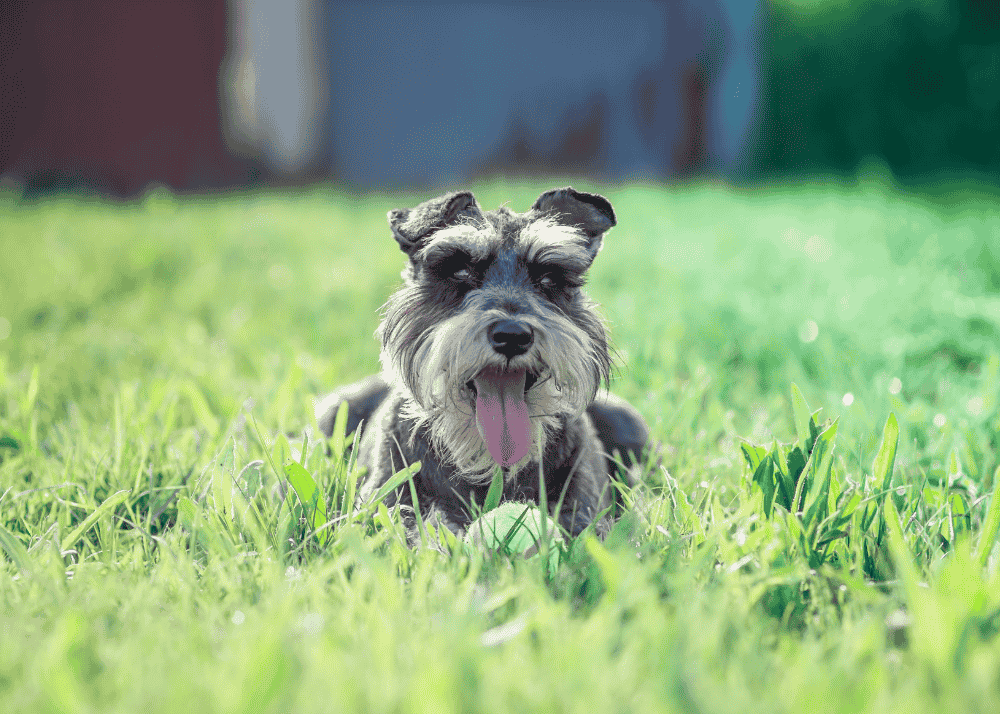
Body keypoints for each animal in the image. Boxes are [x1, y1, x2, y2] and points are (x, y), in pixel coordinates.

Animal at [316, 186, 652, 544]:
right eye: (460, 271)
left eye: (549, 278)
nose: (512, 336)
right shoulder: (383, 504)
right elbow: (414, 529)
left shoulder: (585, 509)